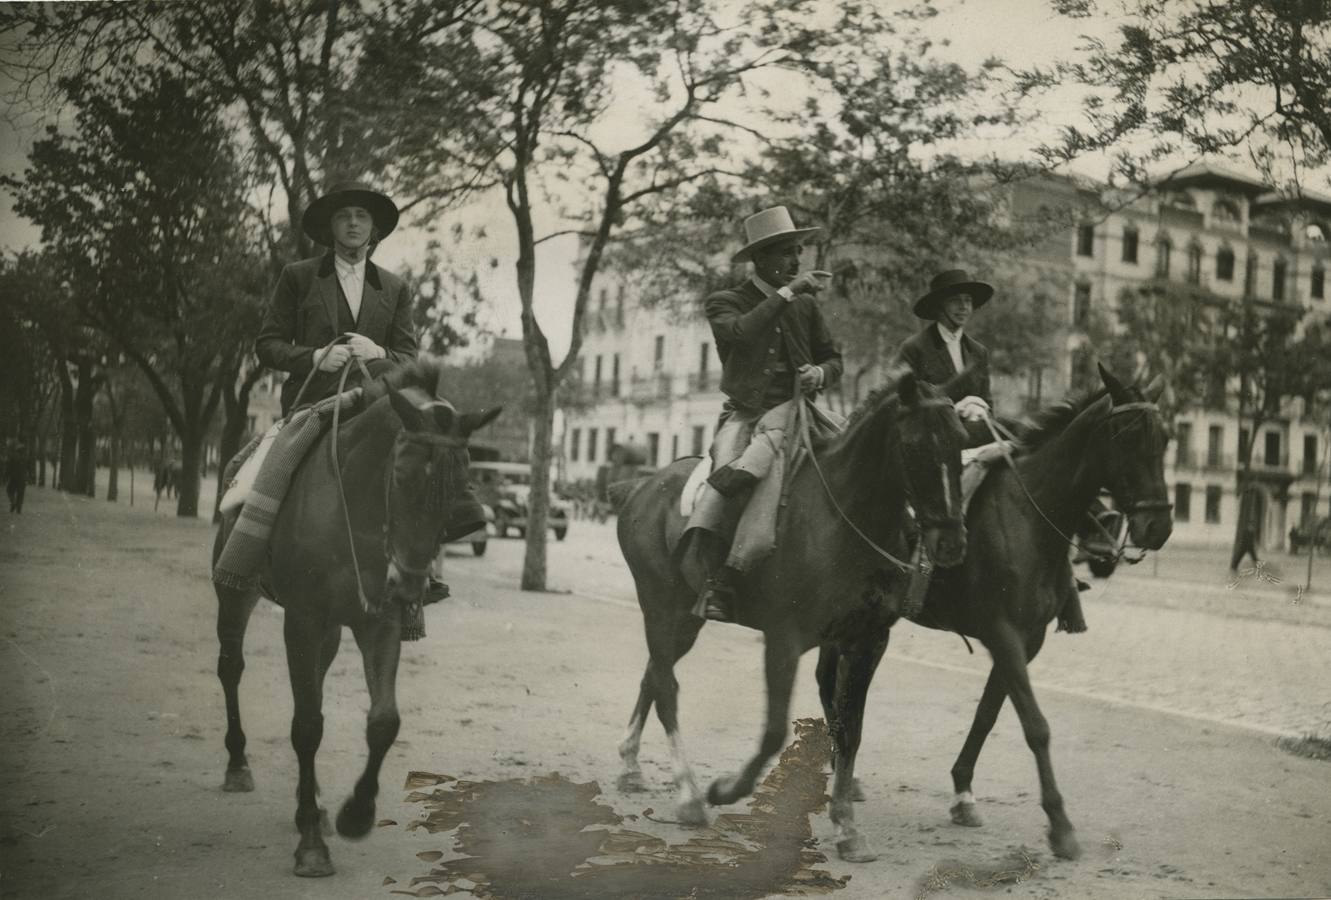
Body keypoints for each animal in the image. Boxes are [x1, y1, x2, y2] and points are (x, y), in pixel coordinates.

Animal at [210, 359, 500, 878]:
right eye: (402, 475)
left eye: (462, 482)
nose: (409, 586)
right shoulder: (302, 619)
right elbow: (307, 725)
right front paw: (310, 844)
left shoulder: (379, 623)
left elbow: (383, 721)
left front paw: (355, 814)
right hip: (236, 592)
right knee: (231, 668)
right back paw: (238, 765)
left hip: (328, 631)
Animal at [612, 370, 968, 862]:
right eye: (915, 446)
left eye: (961, 441)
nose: (952, 543)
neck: (844, 517)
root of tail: (642, 486)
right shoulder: (784, 639)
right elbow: (775, 730)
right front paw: (726, 789)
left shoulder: (866, 642)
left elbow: (850, 730)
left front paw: (846, 826)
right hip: (660, 606)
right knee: (666, 687)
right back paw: (689, 795)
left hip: (685, 619)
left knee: (653, 675)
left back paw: (631, 765)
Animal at [819, 362, 1176, 862]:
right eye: (1124, 436)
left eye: (1164, 438)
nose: (1158, 526)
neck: (1028, 515)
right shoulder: (1001, 633)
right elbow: (1035, 725)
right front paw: (1060, 825)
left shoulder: (1027, 639)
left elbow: (989, 714)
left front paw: (963, 793)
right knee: (829, 683)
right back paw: (842, 776)